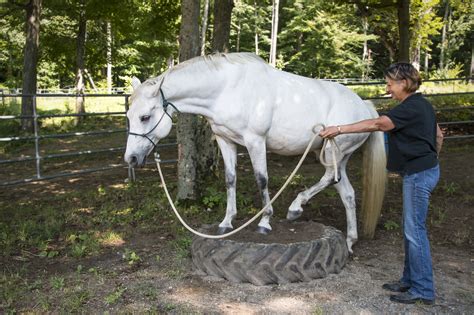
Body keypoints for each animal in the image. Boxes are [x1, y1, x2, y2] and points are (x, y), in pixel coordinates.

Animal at [124, 53, 386, 253]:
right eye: (128, 116)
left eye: (145, 117)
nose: (131, 158)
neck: (227, 89)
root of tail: (365, 107)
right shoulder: (225, 140)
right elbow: (230, 179)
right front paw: (226, 222)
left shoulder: (255, 142)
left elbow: (262, 180)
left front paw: (265, 222)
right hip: (336, 155)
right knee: (347, 193)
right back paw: (350, 242)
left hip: (334, 151)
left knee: (330, 178)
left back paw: (295, 208)